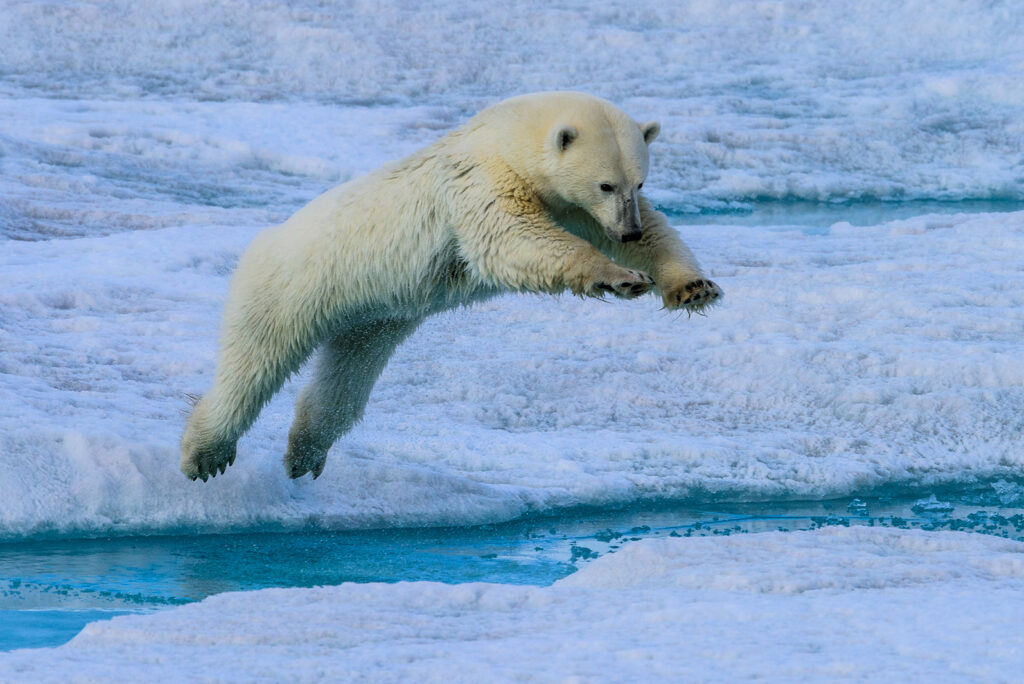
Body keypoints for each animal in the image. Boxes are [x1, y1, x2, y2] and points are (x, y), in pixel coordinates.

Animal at [180, 92, 720, 481]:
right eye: (606, 183)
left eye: (639, 182)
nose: (625, 230)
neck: (506, 137)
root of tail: (260, 244)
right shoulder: (480, 180)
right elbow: (508, 237)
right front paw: (619, 277)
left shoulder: (575, 208)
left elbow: (656, 234)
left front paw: (692, 287)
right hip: (290, 285)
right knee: (254, 364)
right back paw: (205, 454)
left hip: (373, 317)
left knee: (345, 379)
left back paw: (304, 453)